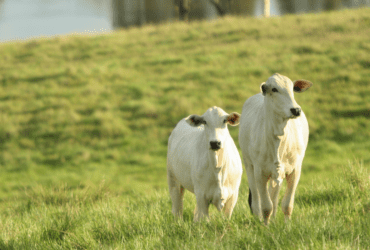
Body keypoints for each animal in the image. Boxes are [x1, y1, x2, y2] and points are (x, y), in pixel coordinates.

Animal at [238, 72, 314, 225]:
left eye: (292, 88)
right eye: (274, 89)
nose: (296, 110)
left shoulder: (295, 170)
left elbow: (287, 204)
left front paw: (286, 226)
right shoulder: (260, 172)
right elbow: (266, 206)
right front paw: (265, 227)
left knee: (274, 196)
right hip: (249, 166)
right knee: (256, 201)